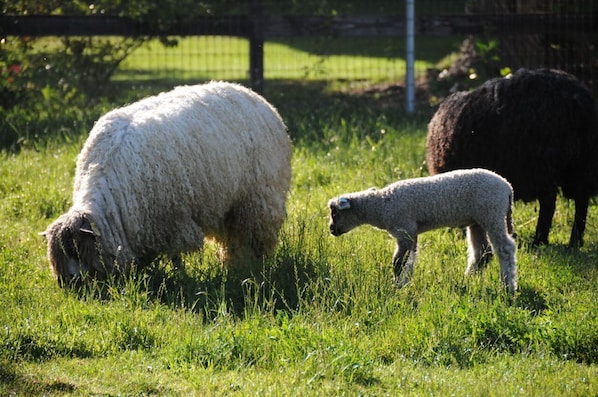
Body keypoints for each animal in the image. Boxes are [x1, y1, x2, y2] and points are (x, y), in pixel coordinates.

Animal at [43, 81, 294, 284]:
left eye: (78, 250)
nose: (71, 283)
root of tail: (252, 94)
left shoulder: (172, 218)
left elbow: (176, 255)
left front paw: (180, 275)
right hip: (231, 206)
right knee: (235, 238)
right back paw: (234, 266)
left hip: (258, 198)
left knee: (254, 237)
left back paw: (251, 267)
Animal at [330, 169, 516, 292]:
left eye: (334, 213)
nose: (331, 229)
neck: (380, 206)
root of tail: (508, 187)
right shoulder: (410, 233)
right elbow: (408, 260)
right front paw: (404, 284)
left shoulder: (405, 229)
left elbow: (398, 262)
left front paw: (396, 285)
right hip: (477, 221)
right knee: (483, 252)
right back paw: (468, 279)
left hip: (492, 214)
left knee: (505, 249)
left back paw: (508, 287)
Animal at [426, 69, 598, 248]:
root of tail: (577, 100)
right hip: (580, 165)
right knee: (581, 199)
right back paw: (574, 242)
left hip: (541, 165)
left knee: (549, 202)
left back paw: (540, 240)